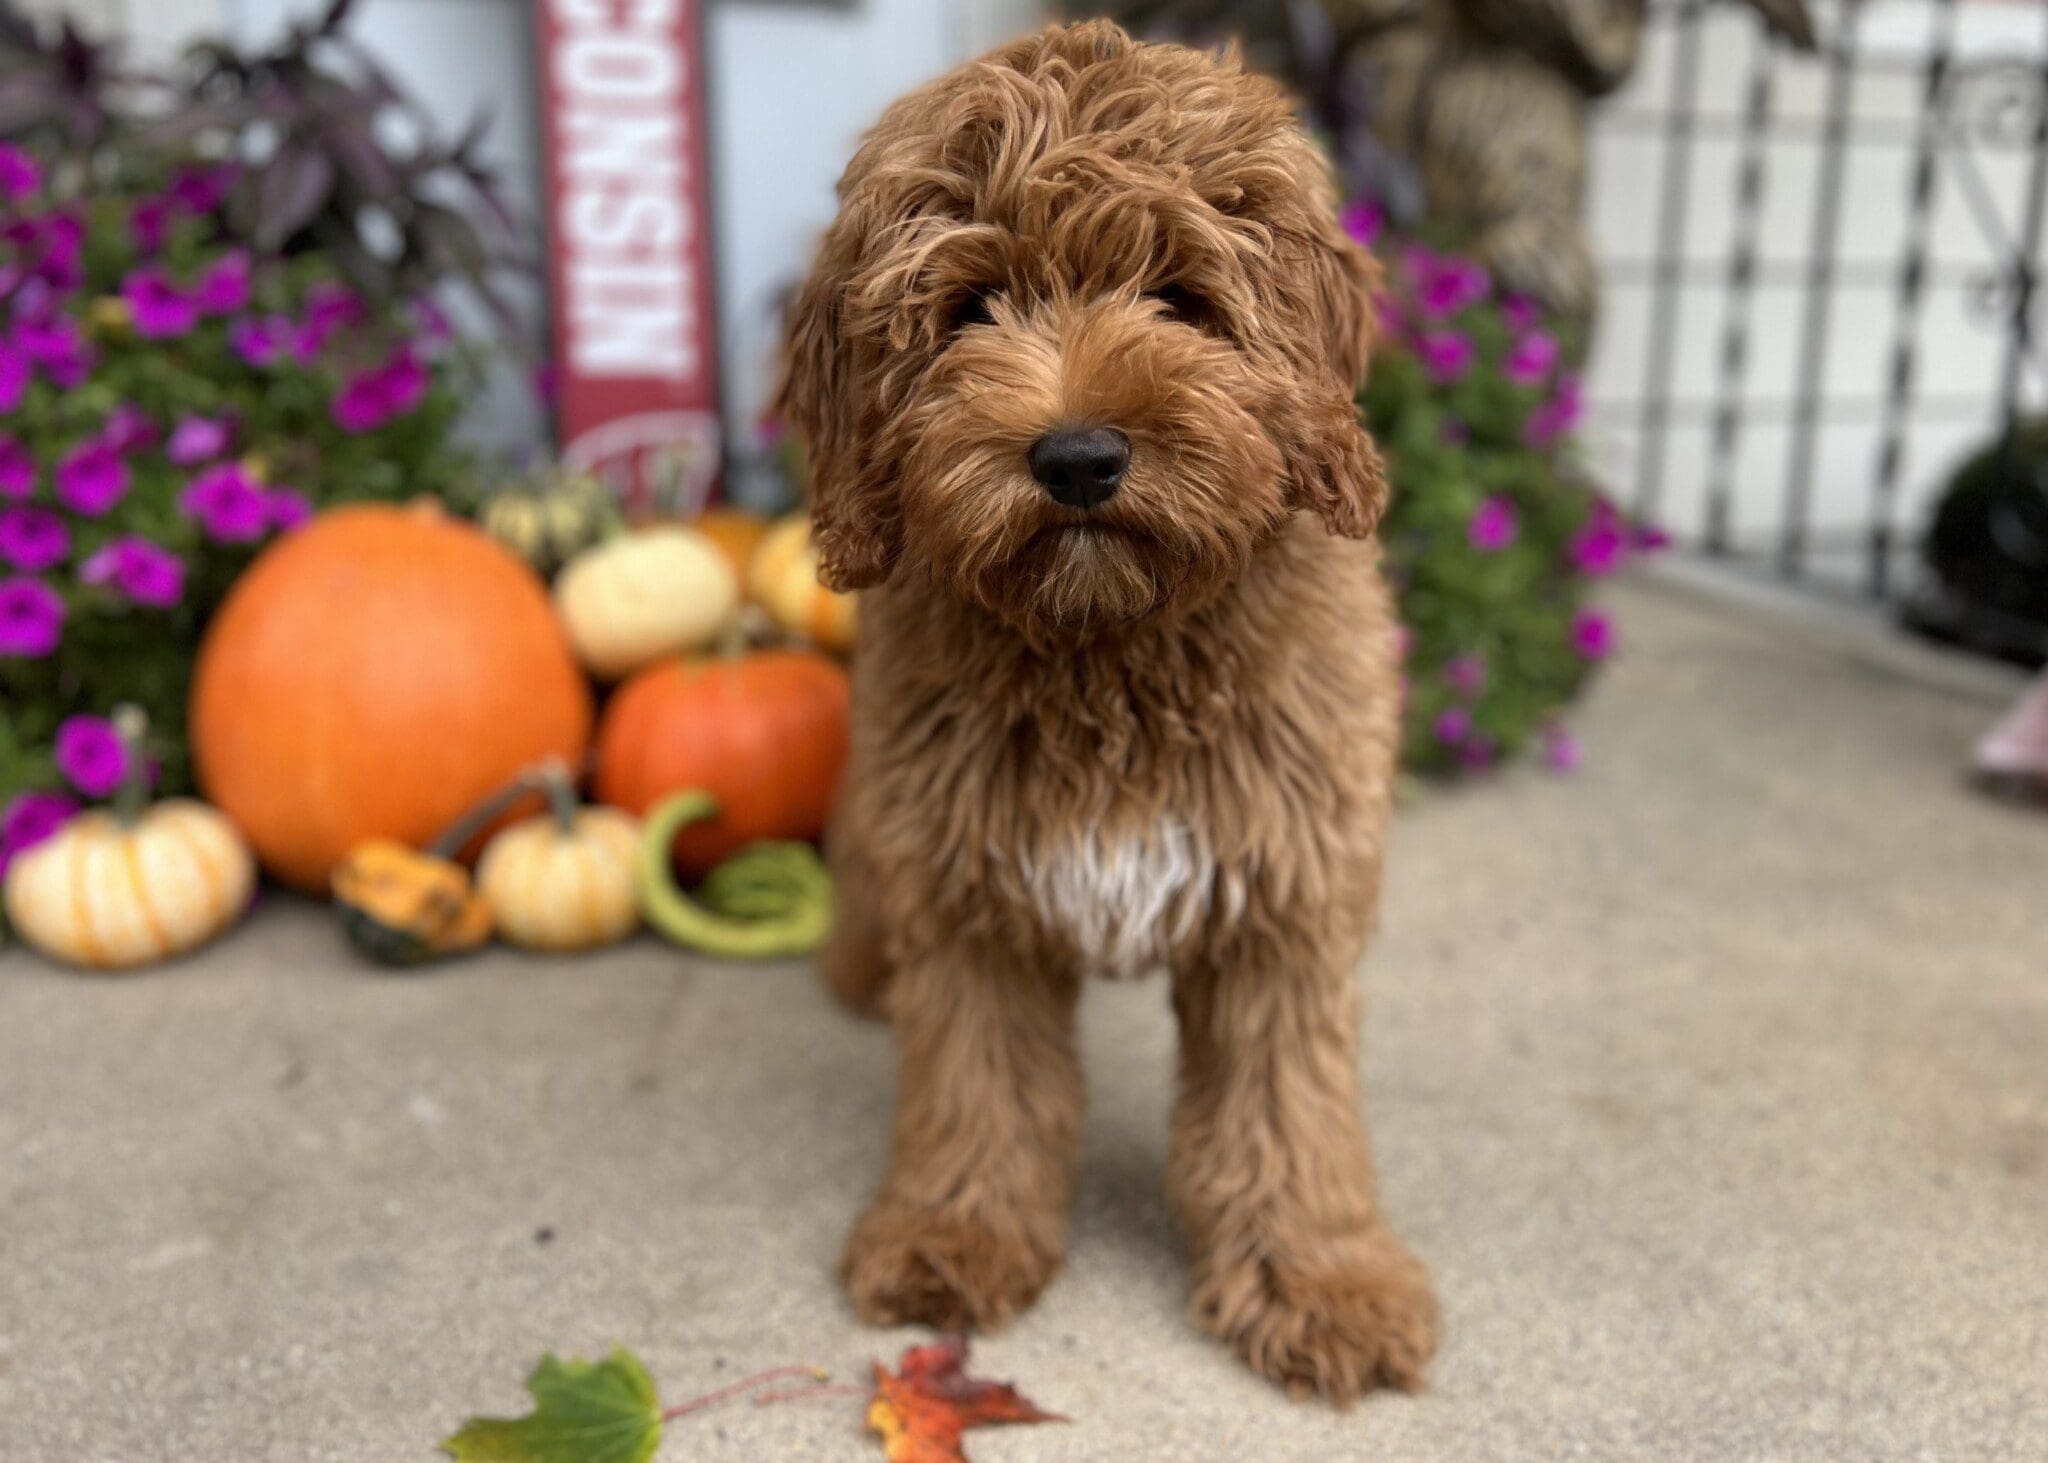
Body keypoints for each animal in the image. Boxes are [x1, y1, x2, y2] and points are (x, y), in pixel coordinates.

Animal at [774, 17, 1433, 1393]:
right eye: (968, 307)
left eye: (1180, 296)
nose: (1077, 456)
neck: (1109, 648)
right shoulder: (968, 896)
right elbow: (975, 1085)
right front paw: (952, 1233)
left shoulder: (1282, 902)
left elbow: (1288, 1110)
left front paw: (1324, 1281)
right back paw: (862, 971)